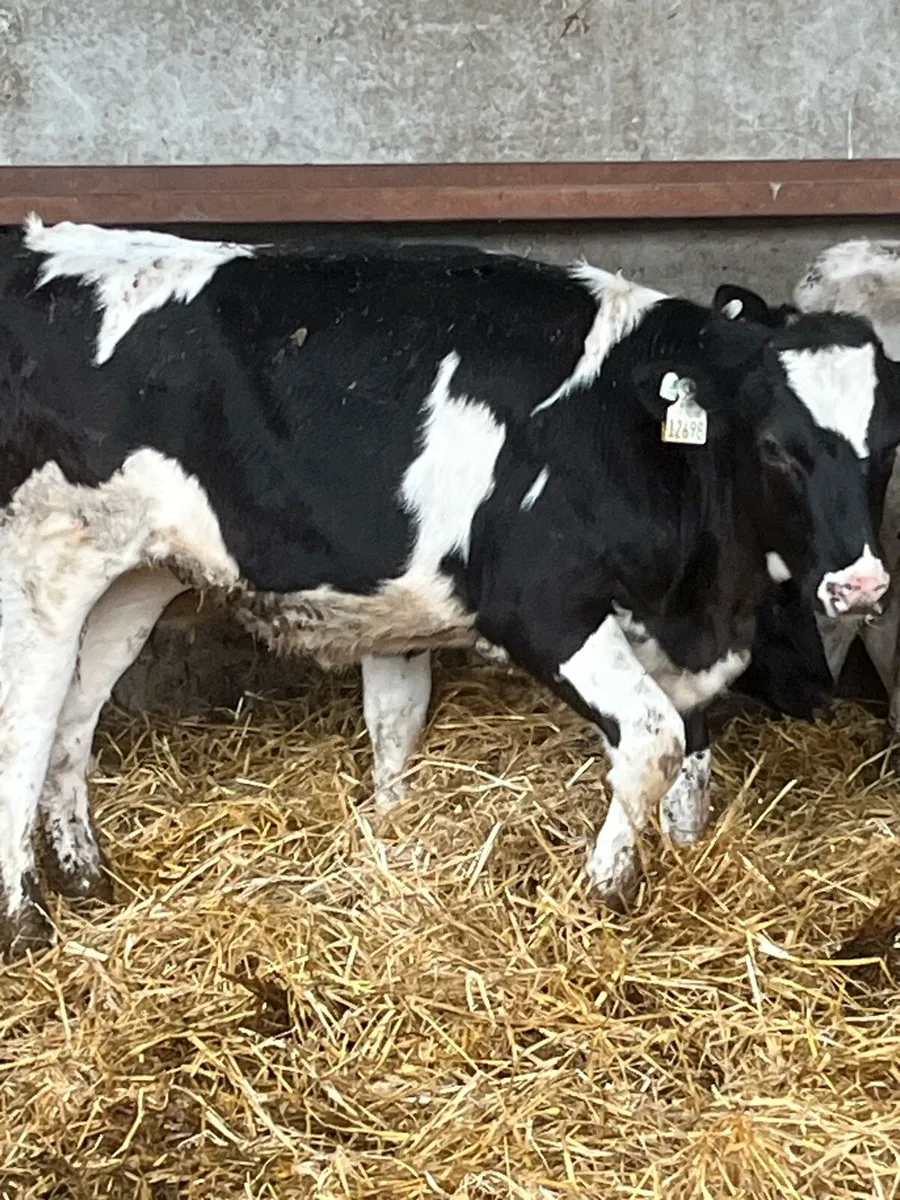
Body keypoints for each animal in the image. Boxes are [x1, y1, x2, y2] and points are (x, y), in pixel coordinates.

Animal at [0, 217, 894, 960]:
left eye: (888, 443)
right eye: (776, 445)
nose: (860, 583)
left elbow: (686, 757)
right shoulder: (542, 606)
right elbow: (653, 738)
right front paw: (607, 890)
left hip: (134, 572)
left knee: (77, 713)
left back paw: (85, 874)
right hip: (41, 555)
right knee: (27, 723)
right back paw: (22, 919)